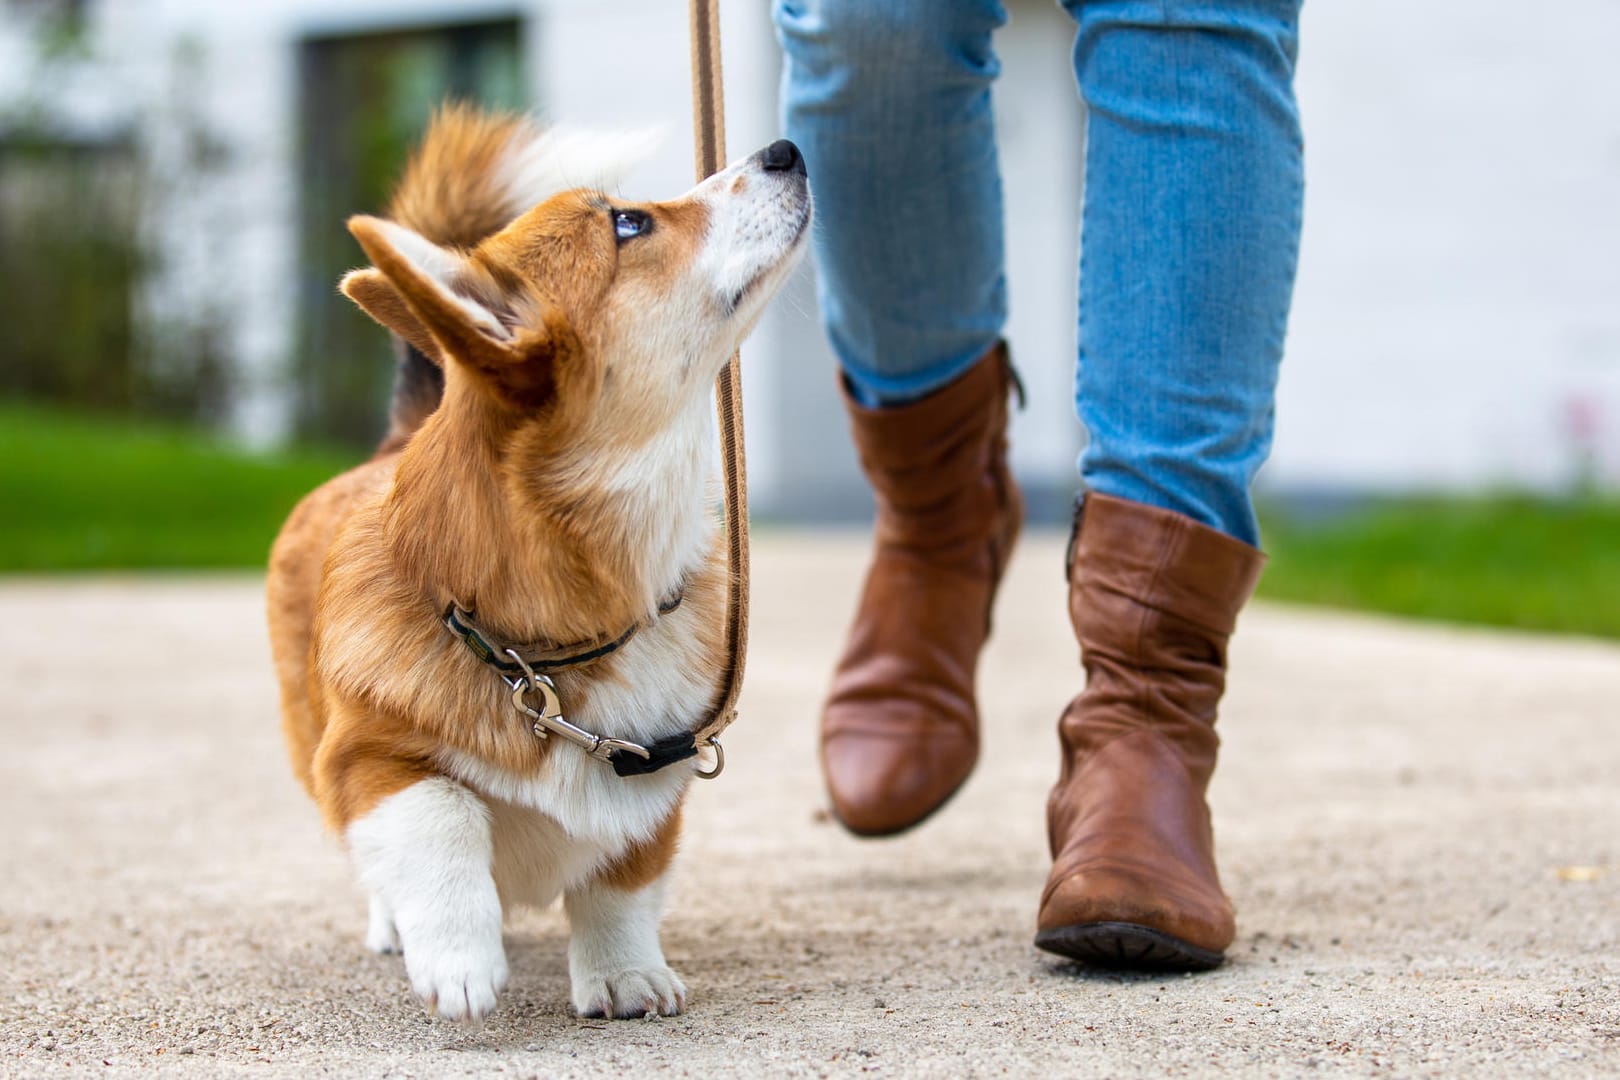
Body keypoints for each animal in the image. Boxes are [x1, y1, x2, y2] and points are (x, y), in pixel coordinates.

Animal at [264, 105, 810, 1029]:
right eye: (629, 224)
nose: (787, 150)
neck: (549, 649)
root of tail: (392, 441)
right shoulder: (365, 759)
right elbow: (441, 813)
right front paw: (459, 958)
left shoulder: (657, 777)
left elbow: (619, 882)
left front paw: (625, 977)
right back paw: (397, 926)